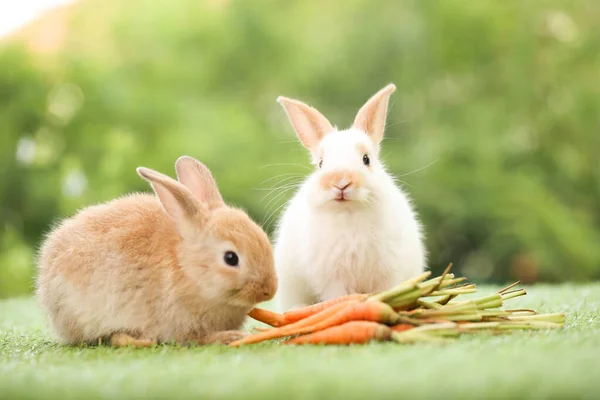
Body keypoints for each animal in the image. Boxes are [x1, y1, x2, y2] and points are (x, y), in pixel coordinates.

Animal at [35, 156, 274, 346]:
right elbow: (196, 338)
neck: (187, 268)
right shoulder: (182, 324)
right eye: (230, 258)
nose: (269, 291)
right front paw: (232, 336)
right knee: (114, 338)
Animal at [272, 84, 426, 312]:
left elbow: (386, 292)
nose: (341, 181)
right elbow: (339, 297)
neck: (349, 212)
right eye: (321, 163)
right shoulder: (333, 278)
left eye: (366, 159)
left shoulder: (388, 271)